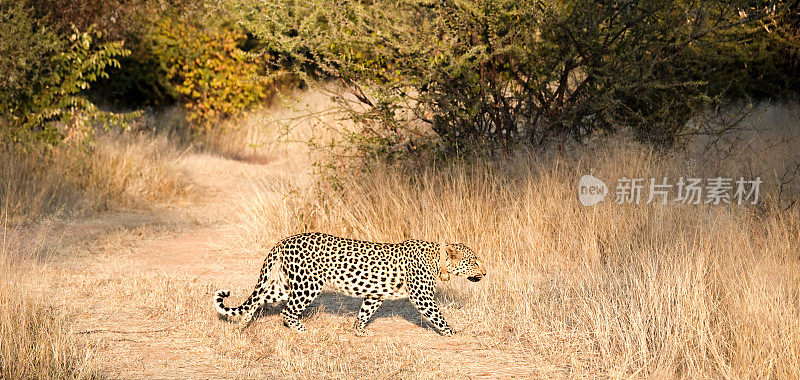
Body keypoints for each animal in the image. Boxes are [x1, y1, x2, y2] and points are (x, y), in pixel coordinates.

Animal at [212, 232, 484, 336]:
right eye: (473, 261)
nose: (485, 272)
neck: (438, 261)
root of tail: (283, 241)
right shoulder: (422, 296)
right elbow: (438, 315)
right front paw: (453, 332)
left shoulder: (375, 294)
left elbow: (365, 312)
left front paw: (359, 330)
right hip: (308, 284)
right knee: (287, 311)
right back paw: (302, 331)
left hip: (284, 285)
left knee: (259, 299)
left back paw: (243, 323)